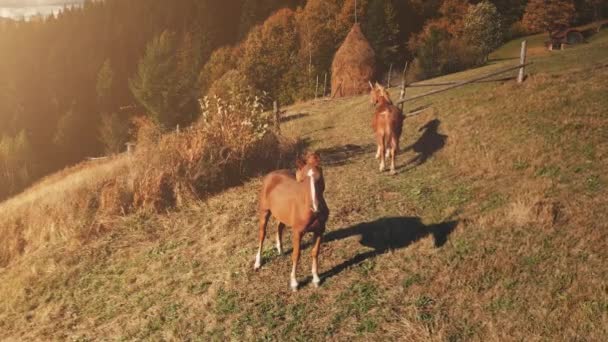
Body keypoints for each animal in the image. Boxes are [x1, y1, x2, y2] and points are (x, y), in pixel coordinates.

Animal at [255, 152, 330, 292]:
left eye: (319, 178)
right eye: (303, 180)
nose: (316, 208)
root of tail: (273, 173)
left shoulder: (320, 230)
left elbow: (315, 252)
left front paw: (316, 279)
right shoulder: (297, 232)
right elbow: (296, 254)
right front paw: (294, 283)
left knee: (279, 227)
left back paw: (281, 250)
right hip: (264, 212)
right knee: (262, 234)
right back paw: (257, 263)